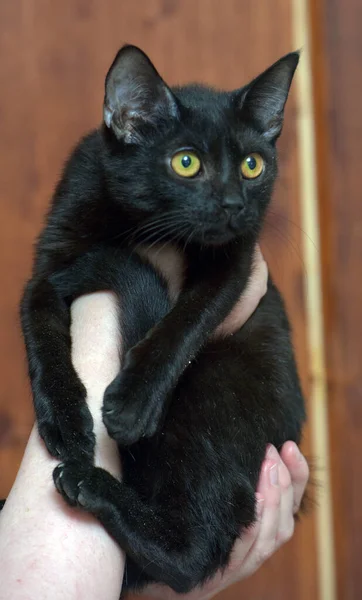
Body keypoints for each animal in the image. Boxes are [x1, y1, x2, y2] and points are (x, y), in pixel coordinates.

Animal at [17, 45, 306, 592]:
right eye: (186, 162)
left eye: (252, 165)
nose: (234, 203)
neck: (142, 226)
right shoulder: (49, 265)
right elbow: (40, 328)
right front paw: (65, 421)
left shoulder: (236, 261)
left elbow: (186, 321)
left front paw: (133, 403)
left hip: (215, 396)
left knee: (191, 556)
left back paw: (89, 483)